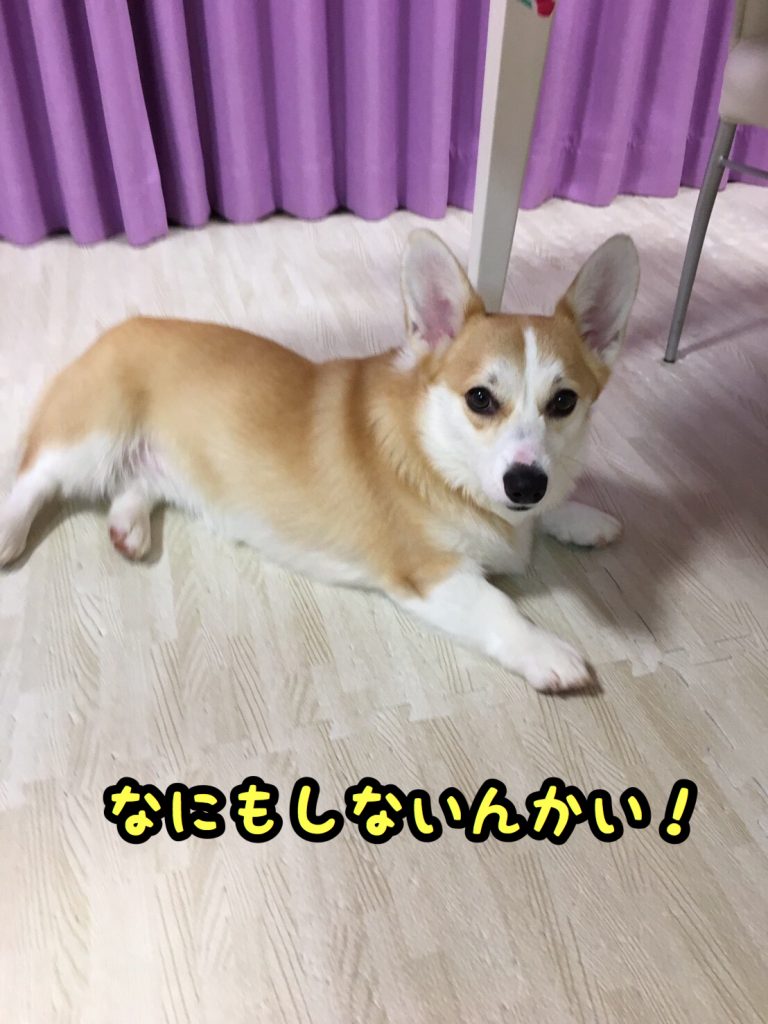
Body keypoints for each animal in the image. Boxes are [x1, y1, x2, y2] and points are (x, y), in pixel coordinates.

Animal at [0, 230, 639, 692]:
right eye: (480, 398)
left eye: (564, 402)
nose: (525, 483)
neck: (439, 460)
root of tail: (120, 327)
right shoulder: (430, 573)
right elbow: (498, 607)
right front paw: (548, 652)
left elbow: (557, 505)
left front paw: (582, 516)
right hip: (91, 439)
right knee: (37, 478)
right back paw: (10, 534)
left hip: (163, 463)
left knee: (137, 482)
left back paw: (128, 527)